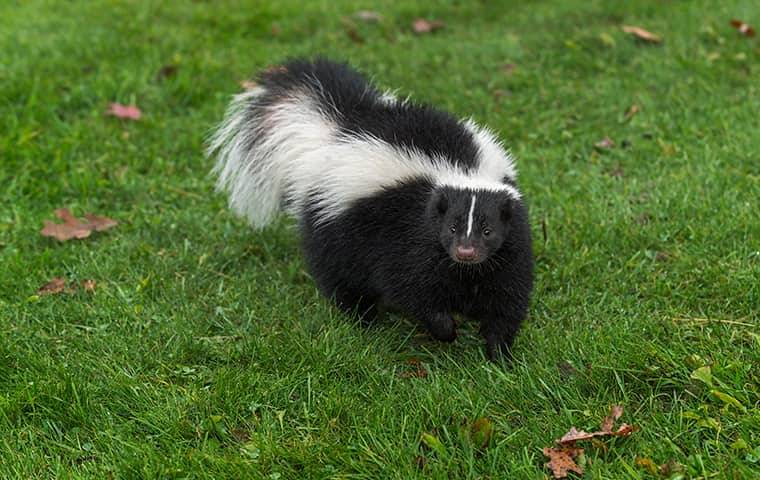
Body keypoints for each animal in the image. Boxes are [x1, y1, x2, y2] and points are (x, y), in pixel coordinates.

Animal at [208, 59, 536, 360]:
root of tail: (343, 126)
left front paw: (499, 355)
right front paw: (446, 330)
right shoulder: (405, 239)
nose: (465, 252)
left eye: (488, 230)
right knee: (340, 276)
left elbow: (507, 298)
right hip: (335, 224)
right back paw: (362, 320)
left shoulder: (510, 247)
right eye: (452, 227)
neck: (460, 172)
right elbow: (411, 289)